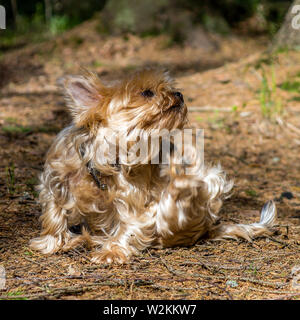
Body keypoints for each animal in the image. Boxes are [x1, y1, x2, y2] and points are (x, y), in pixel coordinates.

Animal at [29, 69, 276, 264]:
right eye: (147, 92)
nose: (179, 94)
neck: (107, 158)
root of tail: (208, 228)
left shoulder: (133, 202)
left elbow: (128, 226)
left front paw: (112, 252)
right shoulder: (56, 182)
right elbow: (54, 214)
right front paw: (52, 243)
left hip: (202, 191)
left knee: (181, 203)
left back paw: (182, 176)